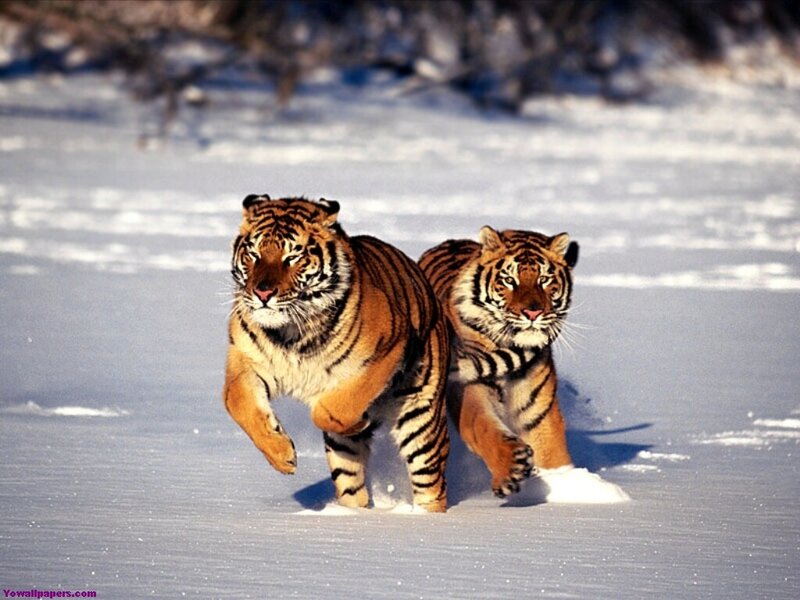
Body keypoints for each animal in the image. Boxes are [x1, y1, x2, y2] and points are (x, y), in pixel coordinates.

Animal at [223, 195, 450, 512]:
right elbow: (237, 404)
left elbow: (332, 410)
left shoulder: (386, 350)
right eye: (253, 254)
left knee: (431, 484)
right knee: (351, 485)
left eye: (292, 257)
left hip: (421, 419)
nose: (262, 293)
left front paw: (359, 420)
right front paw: (282, 456)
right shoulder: (246, 362)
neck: (290, 333)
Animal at [419, 225, 579, 498]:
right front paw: (511, 468)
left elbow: (553, 452)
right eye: (509, 280)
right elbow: (484, 428)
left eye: (545, 279)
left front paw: (571, 486)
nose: (533, 313)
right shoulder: (469, 389)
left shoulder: (539, 413)